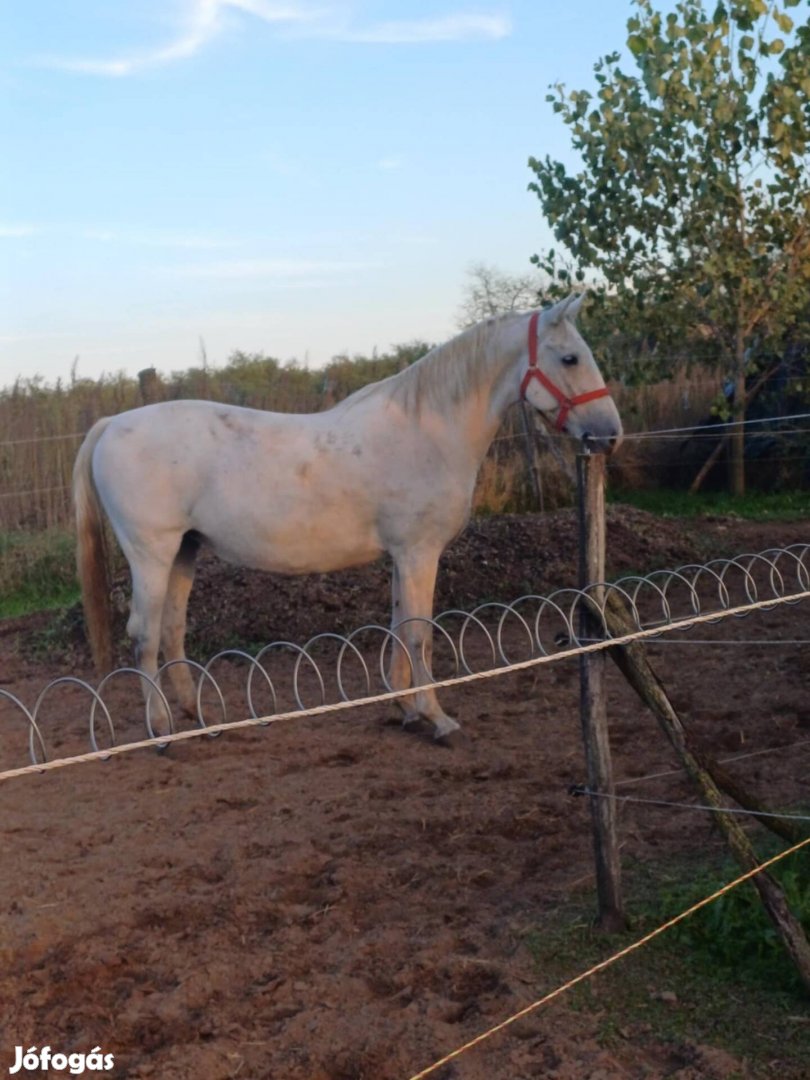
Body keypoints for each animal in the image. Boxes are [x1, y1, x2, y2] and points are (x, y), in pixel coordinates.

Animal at [74, 291, 622, 738]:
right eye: (570, 357)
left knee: (171, 630)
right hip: (152, 553)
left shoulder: (403, 556)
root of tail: (111, 424)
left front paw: (406, 709)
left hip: (184, 552)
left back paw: (199, 717)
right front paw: (436, 717)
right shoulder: (419, 552)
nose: (609, 434)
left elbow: (401, 623)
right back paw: (162, 729)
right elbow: (419, 630)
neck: (428, 428)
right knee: (144, 635)